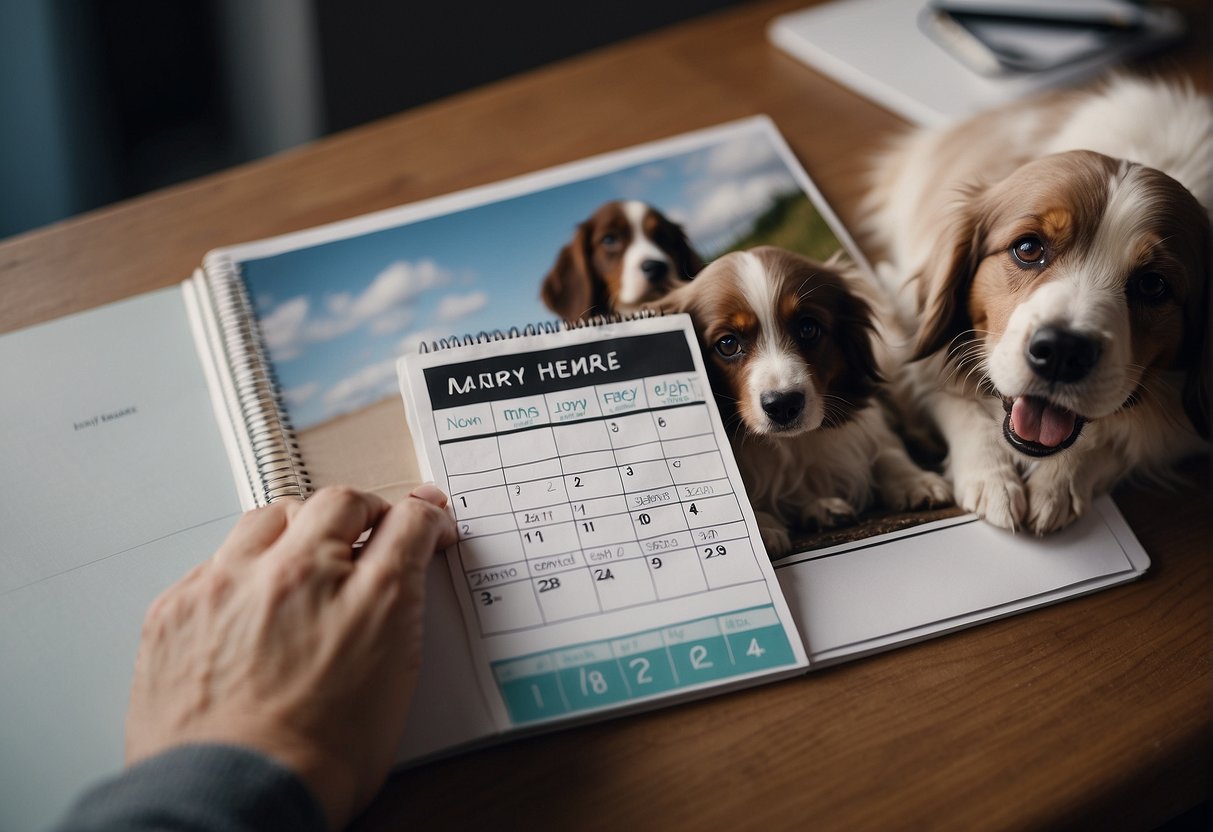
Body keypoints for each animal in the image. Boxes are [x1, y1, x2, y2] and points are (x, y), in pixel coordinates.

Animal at [655, 247, 946, 560]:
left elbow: (886, 451)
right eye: (728, 344)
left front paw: (916, 480)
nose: (783, 405)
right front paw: (762, 526)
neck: (791, 443)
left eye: (808, 328)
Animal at [868, 76, 1208, 533]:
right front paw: (989, 474)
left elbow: (1128, 438)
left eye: (1153, 285)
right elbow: (949, 393)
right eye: (1028, 248)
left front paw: (1059, 482)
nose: (1062, 351)